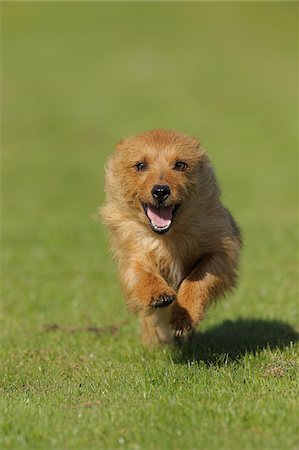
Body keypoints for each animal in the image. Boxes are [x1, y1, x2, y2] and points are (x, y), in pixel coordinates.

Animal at [102, 128, 243, 346]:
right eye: (140, 165)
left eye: (180, 165)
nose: (160, 190)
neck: (168, 238)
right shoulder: (133, 255)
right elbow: (142, 274)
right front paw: (158, 294)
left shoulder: (220, 252)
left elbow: (196, 280)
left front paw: (183, 317)